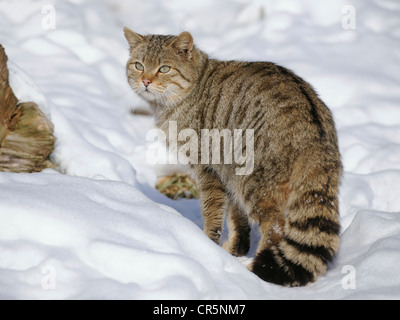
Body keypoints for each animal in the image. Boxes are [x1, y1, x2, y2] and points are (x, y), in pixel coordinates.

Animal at [124, 27, 340, 286]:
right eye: (138, 65)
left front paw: (207, 245)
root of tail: (315, 132)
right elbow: (237, 217)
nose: (145, 81)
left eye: (164, 68)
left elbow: (213, 212)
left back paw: (255, 267)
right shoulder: (227, 173)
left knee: (275, 226)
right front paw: (235, 249)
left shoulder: (208, 168)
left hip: (255, 181)